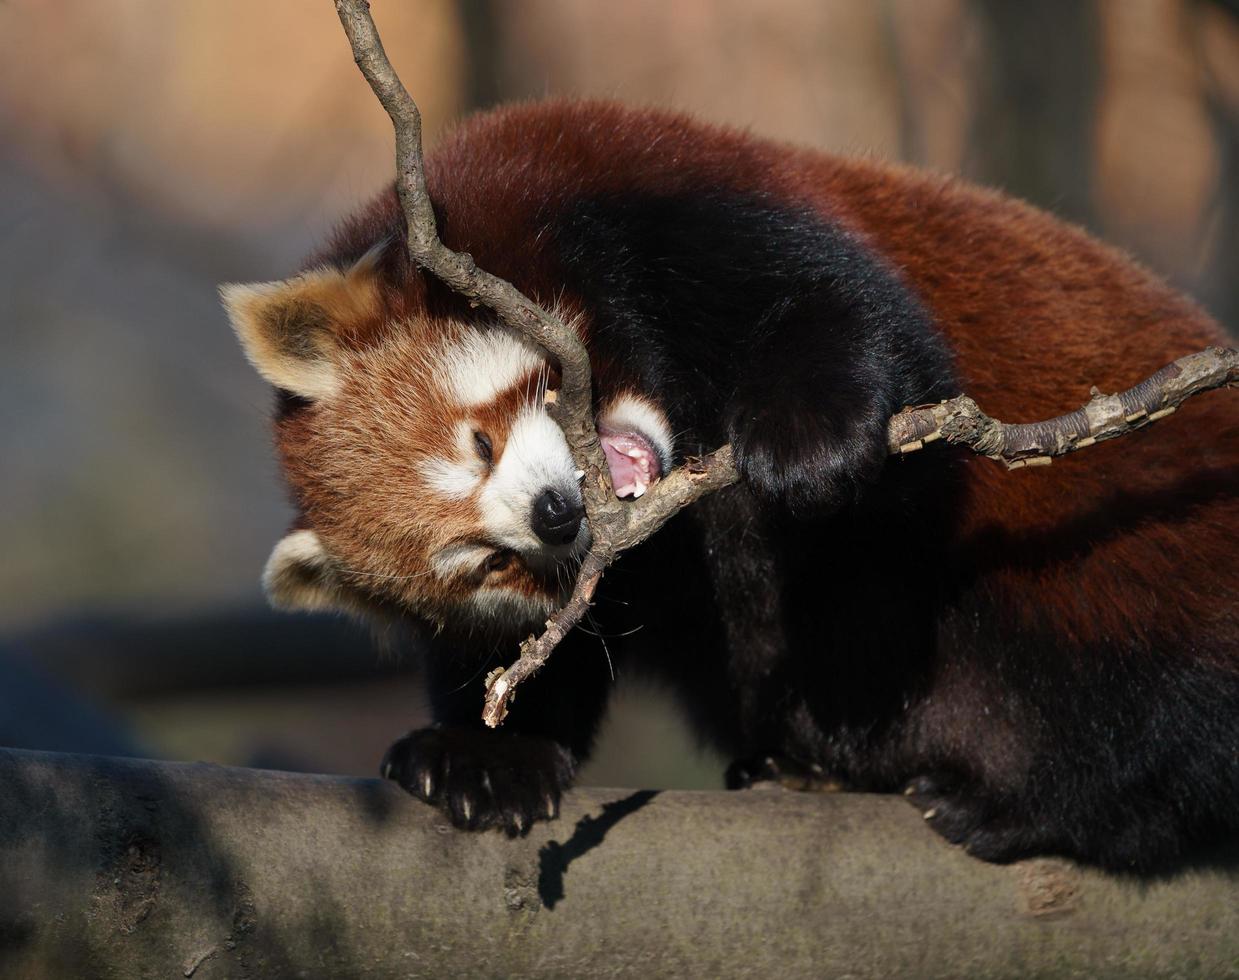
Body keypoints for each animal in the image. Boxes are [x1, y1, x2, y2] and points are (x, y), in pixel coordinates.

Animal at [218, 97, 1234, 867]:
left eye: (479, 440)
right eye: (483, 561)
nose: (555, 516)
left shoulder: (648, 188)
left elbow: (846, 312)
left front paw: (811, 435)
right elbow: (550, 650)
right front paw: (482, 754)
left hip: (1130, 569)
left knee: (1151, 711)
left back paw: (1034, 807)